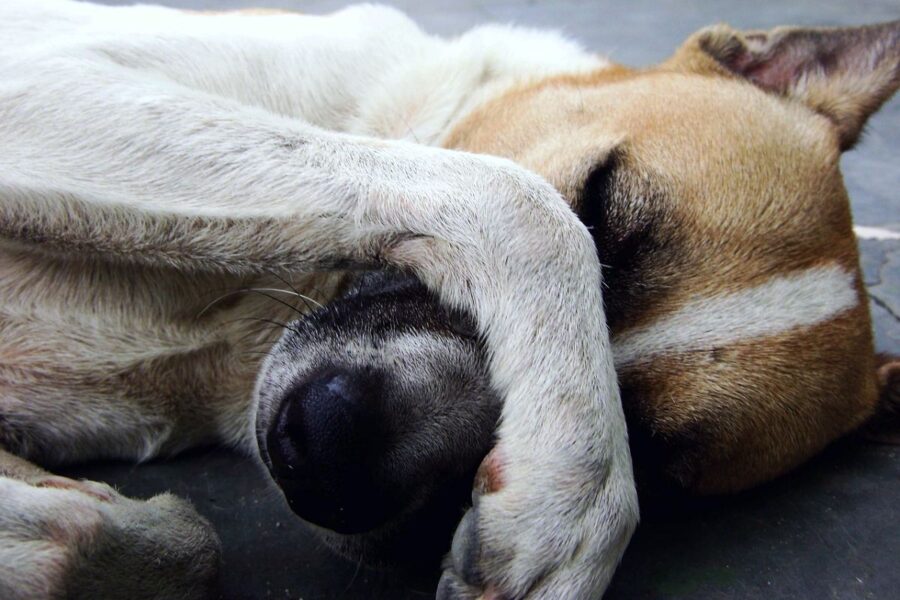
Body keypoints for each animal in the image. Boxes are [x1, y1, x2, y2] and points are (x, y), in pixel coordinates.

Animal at [1, 1, 900, 600]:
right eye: (602, 203)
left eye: (655, 453)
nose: (328, 456)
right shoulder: (39, 84)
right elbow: (519, 202)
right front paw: (571, 498)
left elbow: (186, 544)